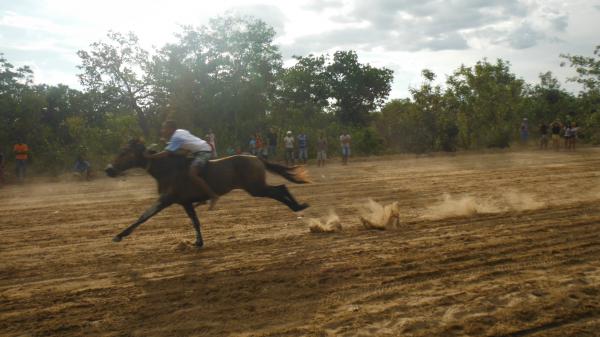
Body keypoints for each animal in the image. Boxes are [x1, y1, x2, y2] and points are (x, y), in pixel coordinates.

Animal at [104, 138, 310, 245]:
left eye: (124, 152)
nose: (108, 170)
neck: (167, 169)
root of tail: (256, 157)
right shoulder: (185, 202)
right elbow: (195, 221)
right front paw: (198, 242)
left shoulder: (166, 199)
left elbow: (144, 216)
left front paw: (119, 235)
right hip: (256, 187)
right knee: (280, 189)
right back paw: (298, 206)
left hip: (256, 188)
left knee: (280, 189)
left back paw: (298, 206)